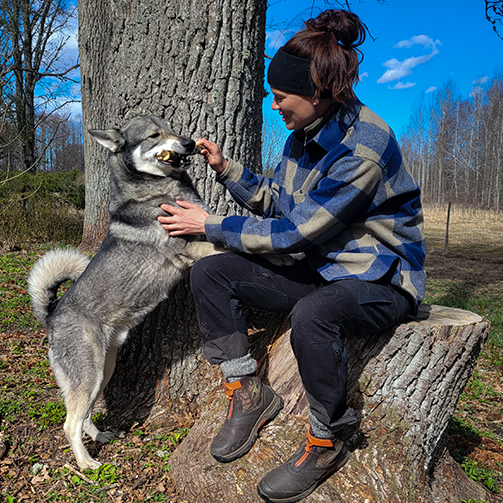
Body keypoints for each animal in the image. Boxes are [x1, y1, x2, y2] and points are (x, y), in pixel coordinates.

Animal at [28, 116, 222, 470]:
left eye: (171, 127)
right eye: (154, 135)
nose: (190, 143)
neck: (155, 188)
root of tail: (51, 315)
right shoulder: (193, 246)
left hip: (102, 371)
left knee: (86, 413)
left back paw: (98, 436)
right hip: (88, 373)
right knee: (70, 422)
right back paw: (87, 464)